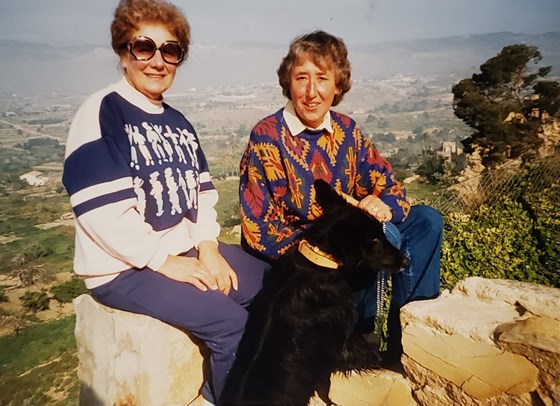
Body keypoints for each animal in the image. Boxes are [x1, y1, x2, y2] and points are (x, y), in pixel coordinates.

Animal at [221, 181, 410, 406]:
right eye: (374, 240)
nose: (407, 262)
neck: (317, 263)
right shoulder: (343, 340)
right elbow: (371, 352)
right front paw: (393, 353)